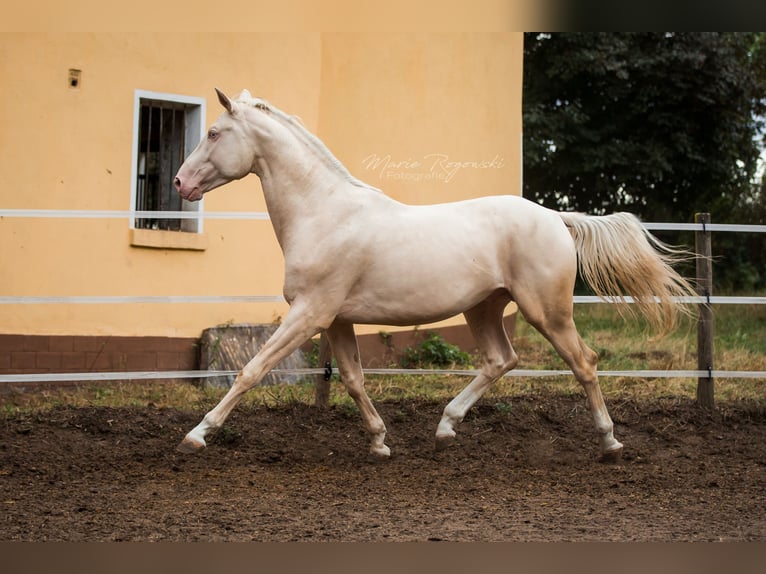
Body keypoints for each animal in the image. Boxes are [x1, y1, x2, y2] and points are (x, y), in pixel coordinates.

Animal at [174, 88, 696, 462]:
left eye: (214, 133)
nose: (180, 183)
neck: (325, 214)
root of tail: (554, 217)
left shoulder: (310, 314)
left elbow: (251, 370)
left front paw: (197, 435)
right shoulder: (337, 319)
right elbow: (353, 379)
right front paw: (380, 442)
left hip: (546, 311)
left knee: (583, 362)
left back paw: (609, 444)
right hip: (483, 308)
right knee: (500, 360)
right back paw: (446, 427)